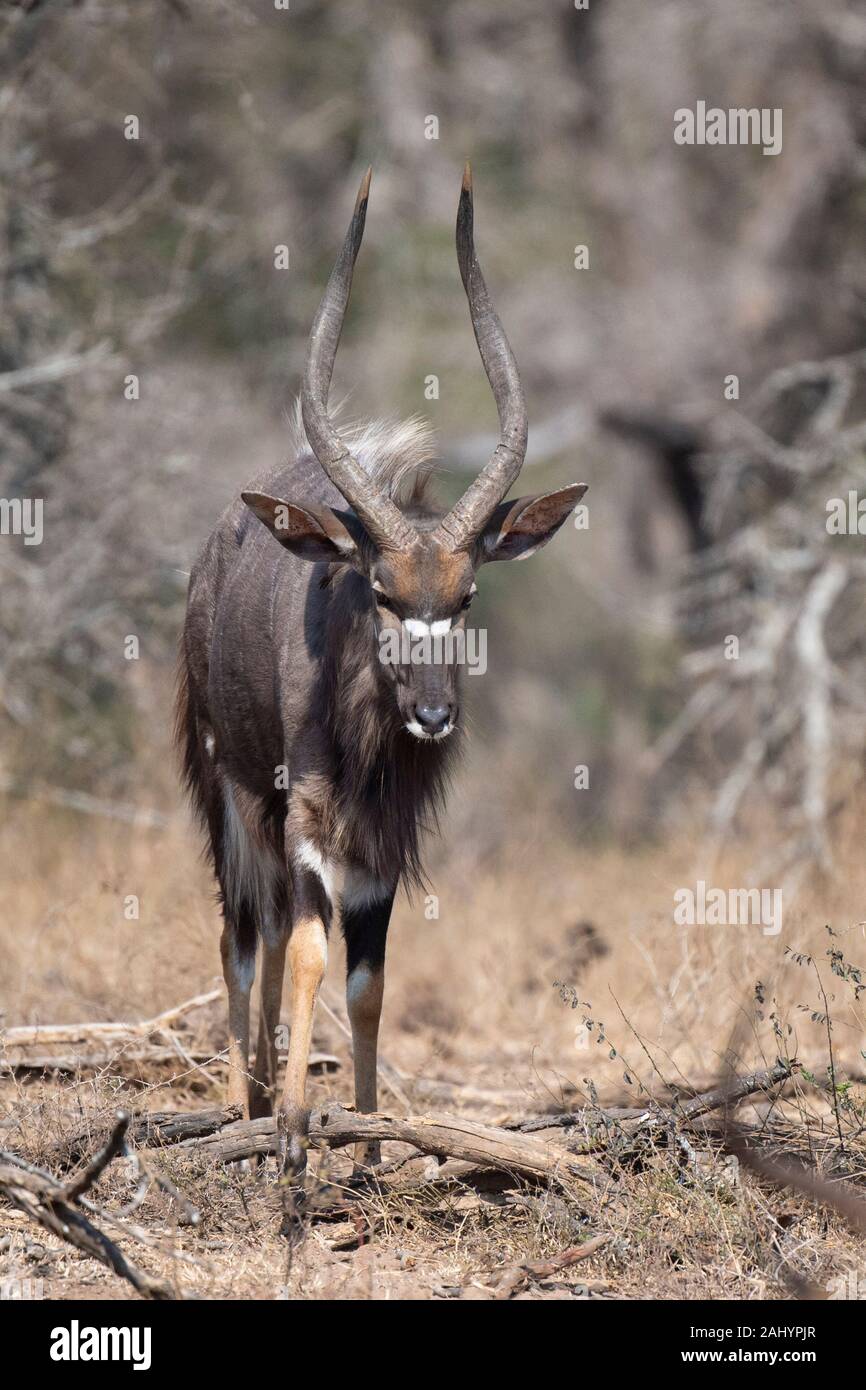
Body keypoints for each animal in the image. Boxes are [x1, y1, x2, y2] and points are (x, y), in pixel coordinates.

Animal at [176, 168, 586, 1178]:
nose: (433, 715)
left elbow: (368, 981)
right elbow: (308, 955)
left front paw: (366, 1139)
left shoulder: (382, 854)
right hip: (230, 794)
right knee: (248, 935)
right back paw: (247, 1108)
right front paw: (291, 1134)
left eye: (467, 594)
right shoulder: (308, 823)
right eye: (382, 590)